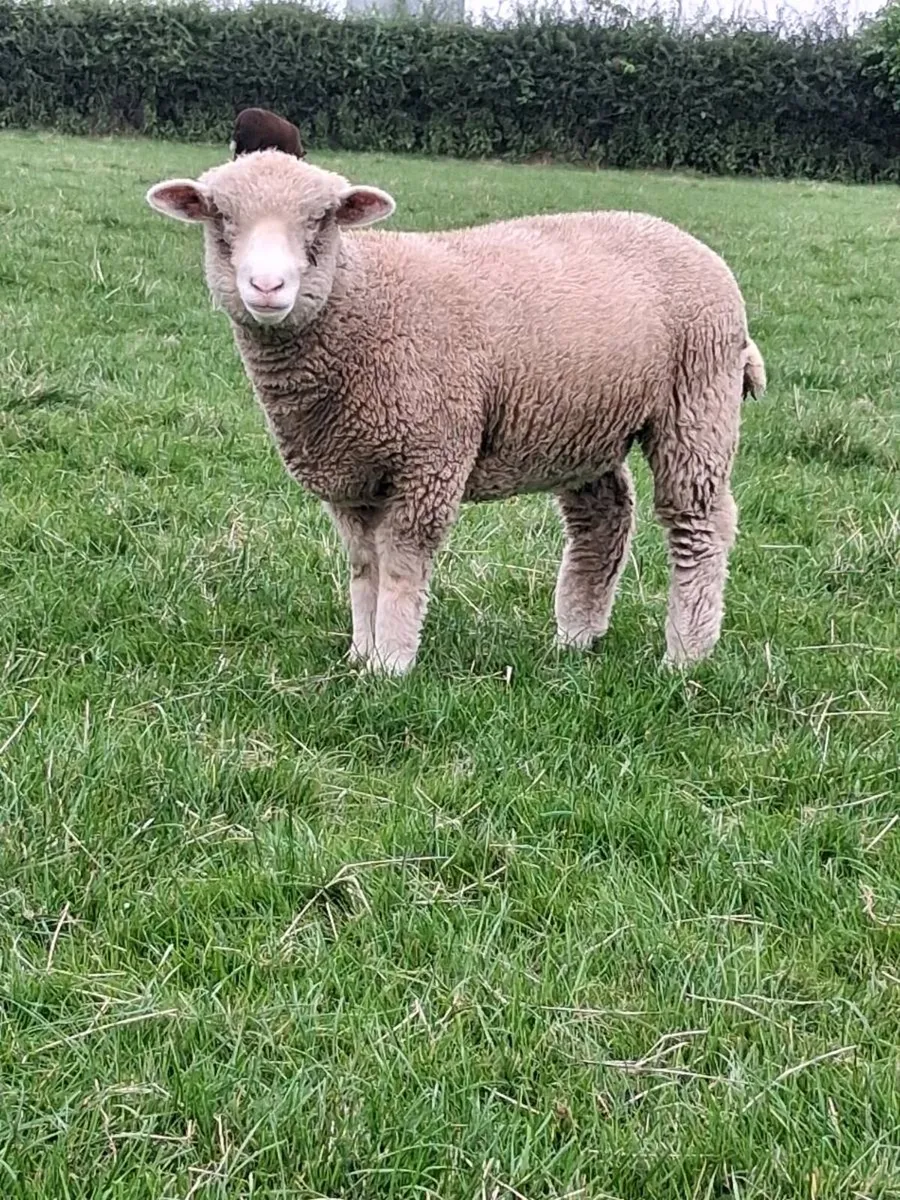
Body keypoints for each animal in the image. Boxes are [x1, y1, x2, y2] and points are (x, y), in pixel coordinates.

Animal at [146, 152, 765, 676]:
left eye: (323, 220)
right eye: (219, 217)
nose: (268, 285)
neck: (360, 304)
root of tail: (687, 240)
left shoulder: (429, 456)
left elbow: (400, 565)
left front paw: (391, 664)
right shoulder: (351, 476)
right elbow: (363, 567)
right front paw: (359, 654)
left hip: (697, 399)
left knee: (699, 525)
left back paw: (685, 656)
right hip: (583, 423)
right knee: (604, 517)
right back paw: (575, 637)